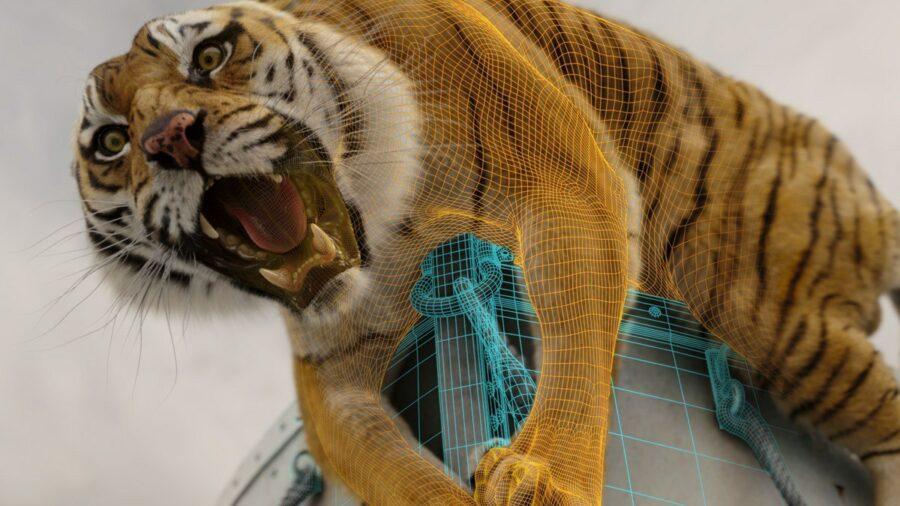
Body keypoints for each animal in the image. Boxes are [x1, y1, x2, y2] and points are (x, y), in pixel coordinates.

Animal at [72, 0, 900, 504]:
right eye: (111, 142)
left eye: (210, 57)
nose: (170, 138)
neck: (391, 221)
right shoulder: (331, 373)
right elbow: (390, 467)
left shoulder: (561, 178)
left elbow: (572, 338)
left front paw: (544, 475)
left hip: (772, 317)